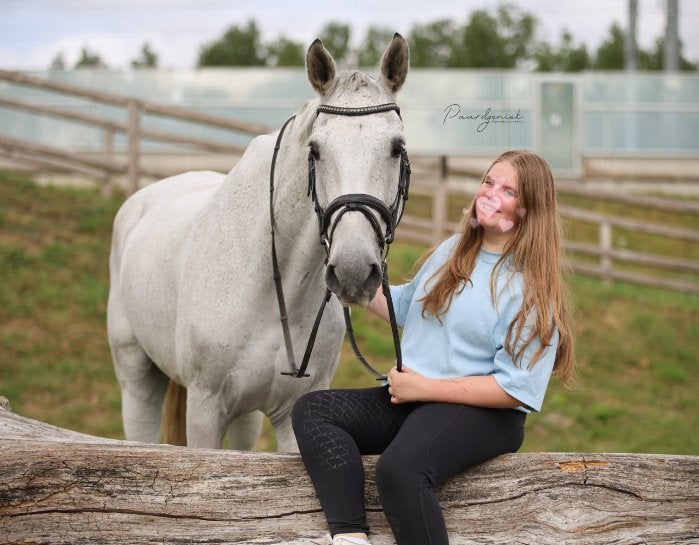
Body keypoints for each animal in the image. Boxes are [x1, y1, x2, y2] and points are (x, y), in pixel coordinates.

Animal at [107, 34, 410, 451]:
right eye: (315, 150)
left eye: (397, 147)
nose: (352, 270)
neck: (273, 285)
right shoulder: (205, 411)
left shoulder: (291, 416)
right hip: (137, 376)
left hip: (245, 414)